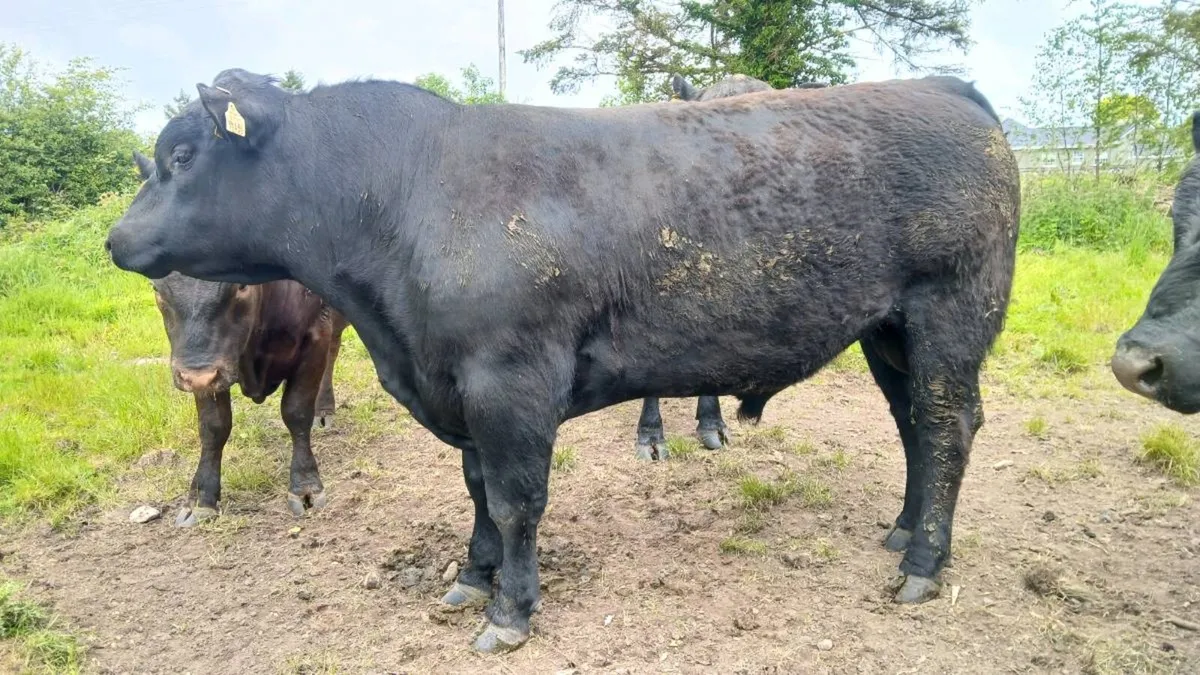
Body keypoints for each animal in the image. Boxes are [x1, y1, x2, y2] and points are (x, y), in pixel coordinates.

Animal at [148, 240, 348, 525]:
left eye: (241, 285)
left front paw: (305, 487)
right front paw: (202, 498)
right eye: (157, 288)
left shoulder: (316, 334)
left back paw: (324, 410)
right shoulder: (210, 373)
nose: (196, 375)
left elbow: (296, 413)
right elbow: (213, 427)